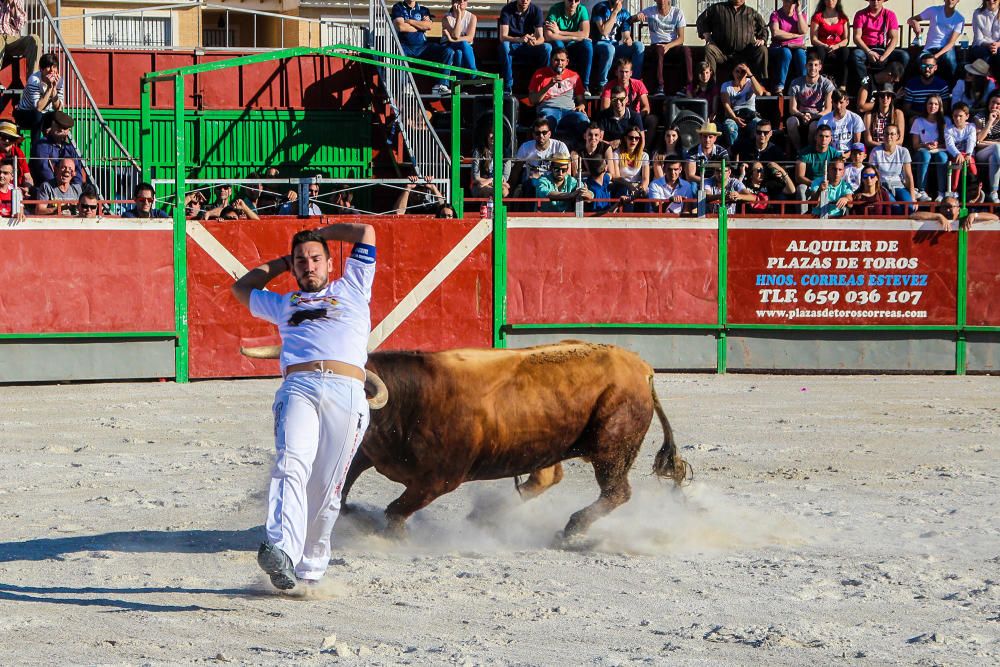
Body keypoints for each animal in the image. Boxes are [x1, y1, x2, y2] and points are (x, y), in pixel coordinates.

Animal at [342, 342, 688, 540]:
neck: (409, 401)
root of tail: (641, 367)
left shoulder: (439, 480)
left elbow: (396, 511)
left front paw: (390, 535)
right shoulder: (365, 453)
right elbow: (344, 486)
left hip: (611, 449)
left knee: (616, 492)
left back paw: (571, 530)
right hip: (550, 446)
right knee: (547, 478)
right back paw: (486, 516)